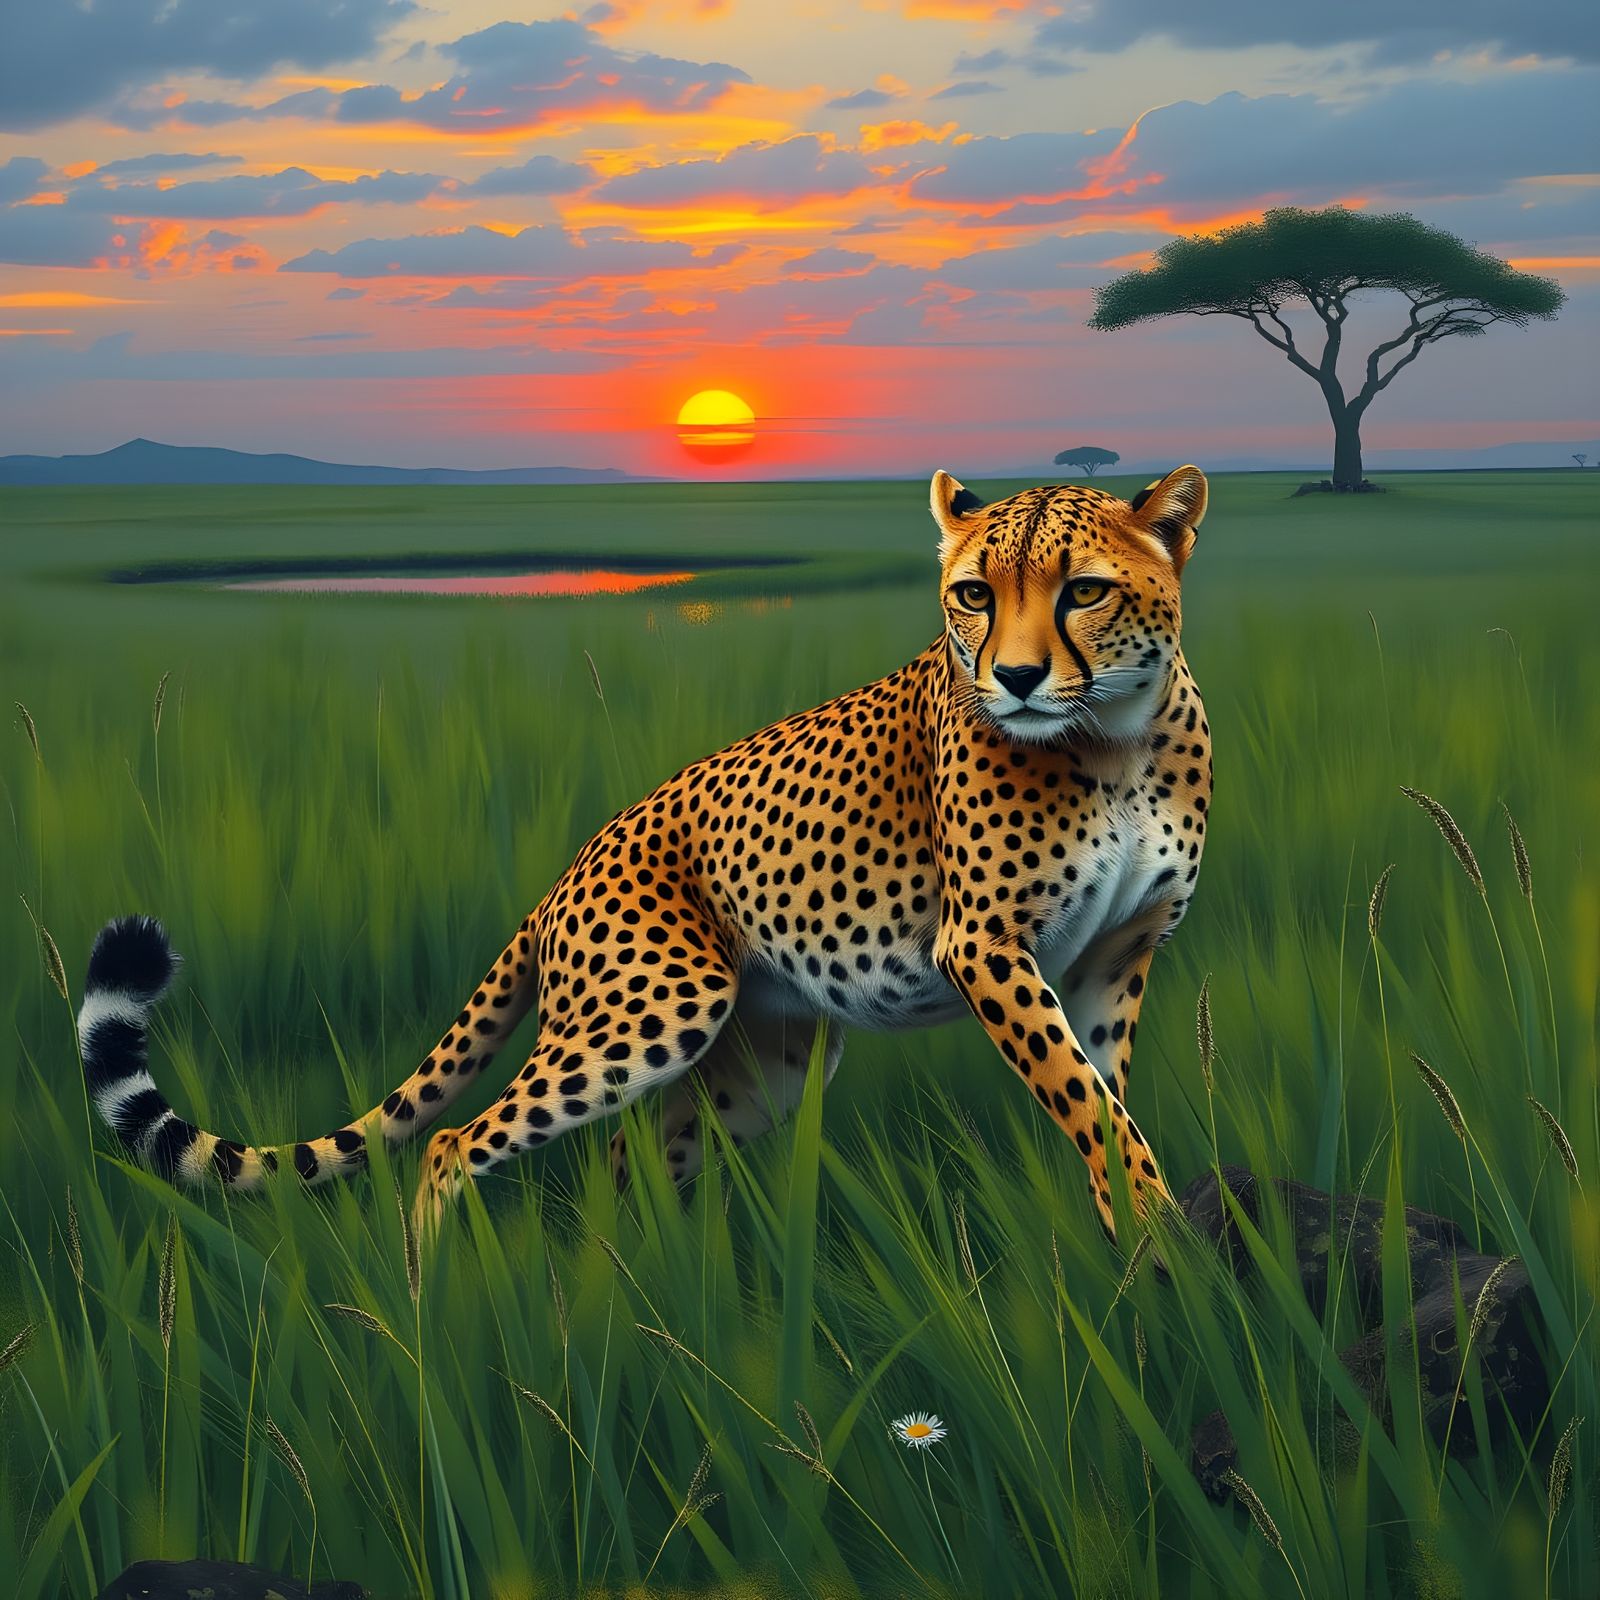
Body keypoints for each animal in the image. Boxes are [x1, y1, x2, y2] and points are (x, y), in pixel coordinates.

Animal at [77, 464, 1212, 1244]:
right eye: (975, 593)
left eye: (1083, 591)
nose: (1014, 679)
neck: (1113, 741)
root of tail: (565, 872)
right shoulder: (983, 946)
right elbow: (1084, 1094)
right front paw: (1165, 1245)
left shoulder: (1115, 952)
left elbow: (1098, 1090)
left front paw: (1127, 1242)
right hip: (656, 1008)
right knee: (451, 1142)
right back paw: (433, 1307)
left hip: (766, 1060)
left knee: (630, 1160)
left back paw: (630, 1299)